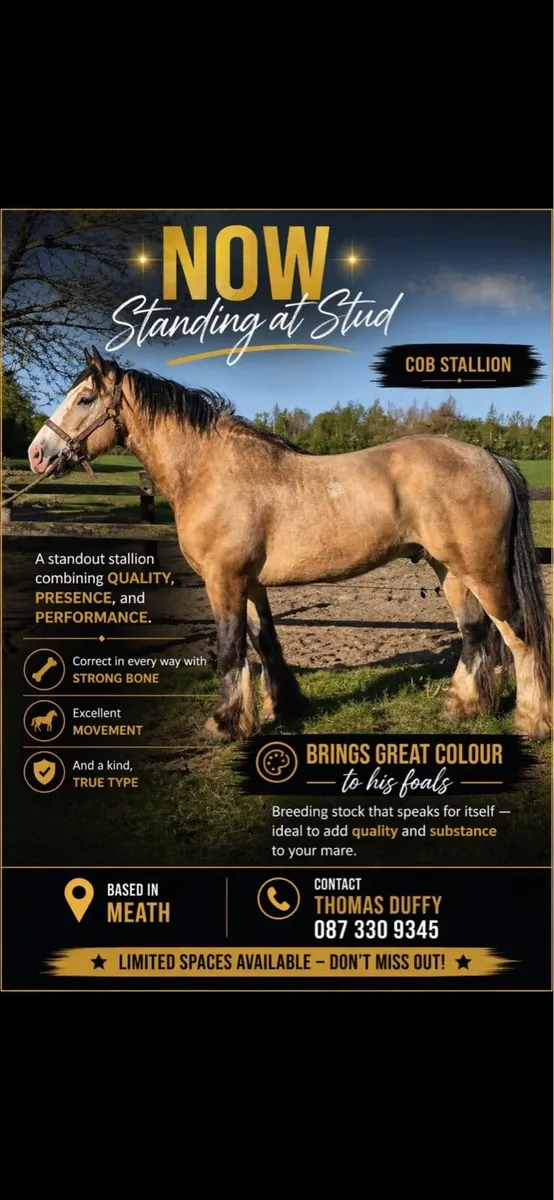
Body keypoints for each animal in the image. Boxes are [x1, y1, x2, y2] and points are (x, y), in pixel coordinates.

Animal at [27, 346, 551, 742]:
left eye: (85, 398)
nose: (37, 454)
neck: (210, 470)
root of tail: (489, 456)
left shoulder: (224, 580)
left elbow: (231, 648)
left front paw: (225, 724)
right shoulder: (250, 582)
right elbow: (266, 643)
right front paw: (282, 707)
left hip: (482, 570)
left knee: (518, 635)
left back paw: (532, 721)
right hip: (450, 569)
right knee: (474, 632)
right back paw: (465, 706)